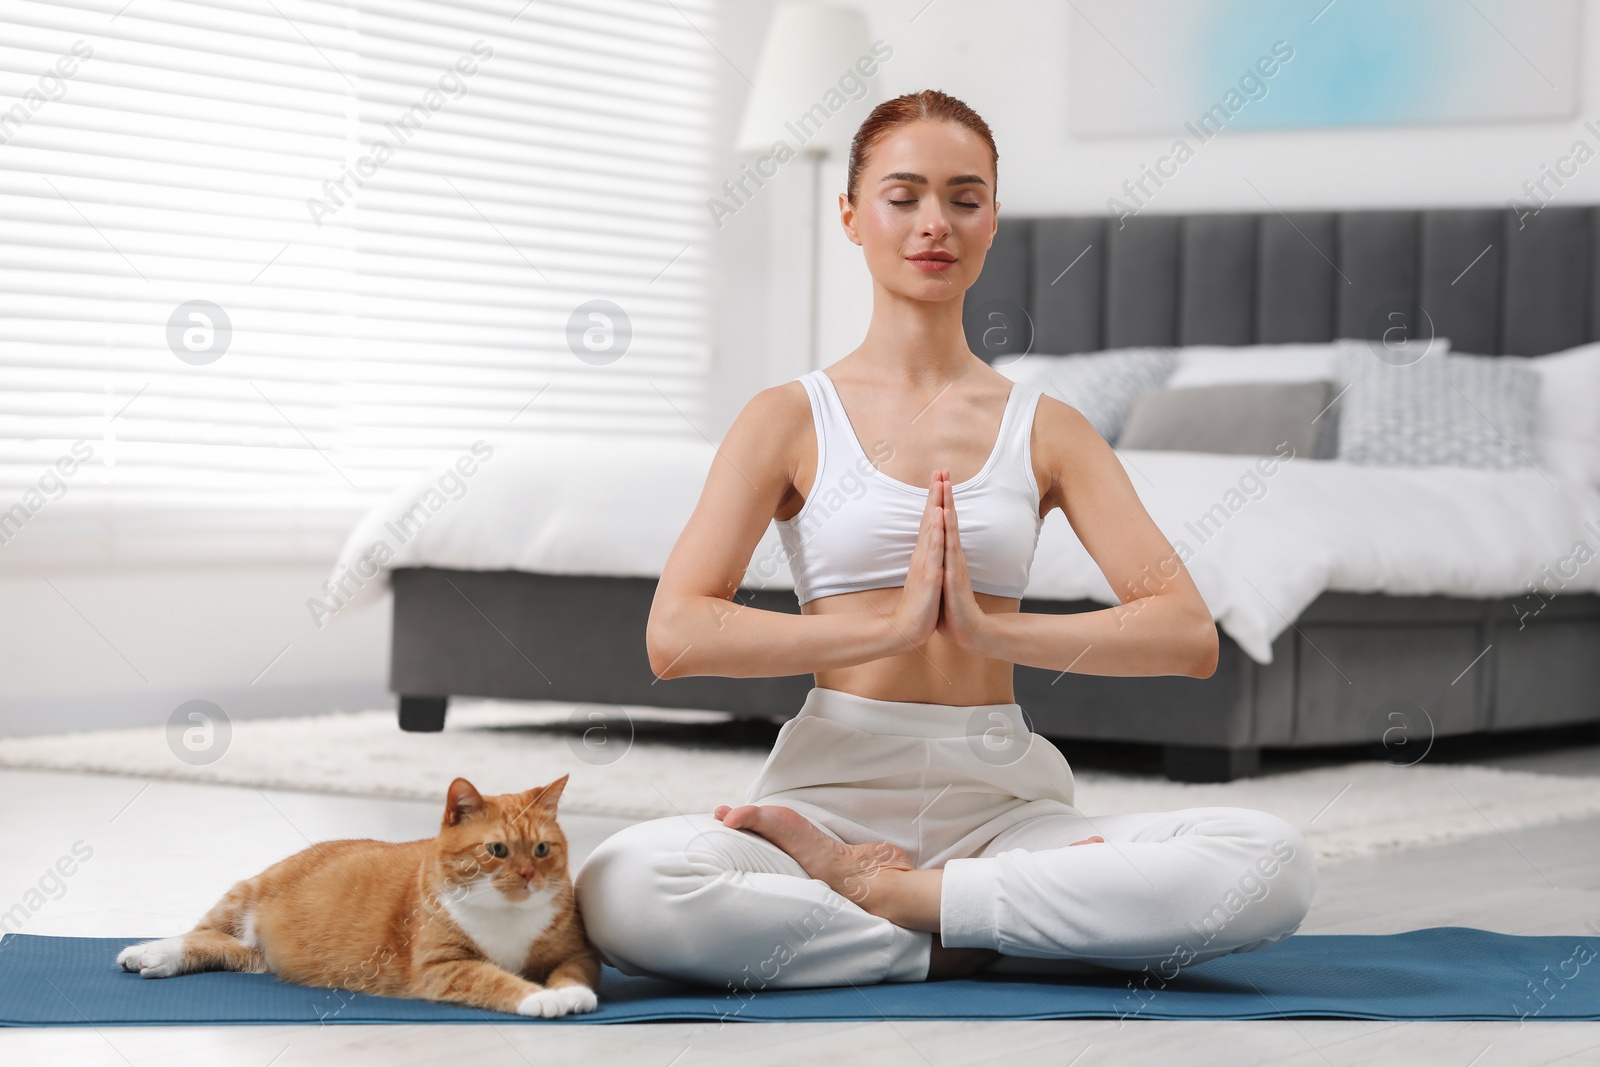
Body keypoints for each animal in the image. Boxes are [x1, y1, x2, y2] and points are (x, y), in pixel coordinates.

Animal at [114, 777, 601, 1017]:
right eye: (496, 850)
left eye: (542, 850)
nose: (527, 875)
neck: (506, 916)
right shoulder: (442, 968)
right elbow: (496, 980)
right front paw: (539, 998)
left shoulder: (577, 951)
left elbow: (573, 972)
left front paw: (569, 993)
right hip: (243, 896)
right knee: (201, 932)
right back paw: (151, 952)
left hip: (258, 956)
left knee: (224, 947)